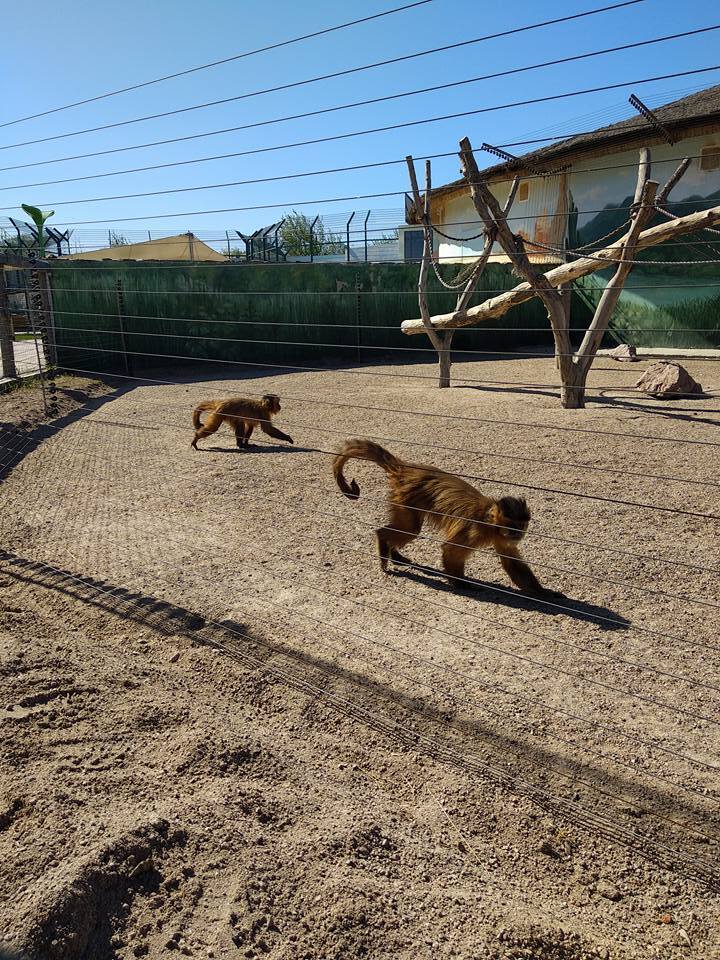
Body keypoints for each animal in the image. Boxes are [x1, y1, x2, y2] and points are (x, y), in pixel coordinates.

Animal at [332, 438, 556, 596]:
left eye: (522, 525)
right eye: (512, 525)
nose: (518, 534)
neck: (489, 522)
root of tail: (406, 469)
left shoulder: (502, 537)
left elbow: (511, 563)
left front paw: (545, 593)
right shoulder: (475, 530)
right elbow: (450, 550)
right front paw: (461, 583)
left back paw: (392, 552)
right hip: (405, 498)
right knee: (410, 530)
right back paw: (383, 539)